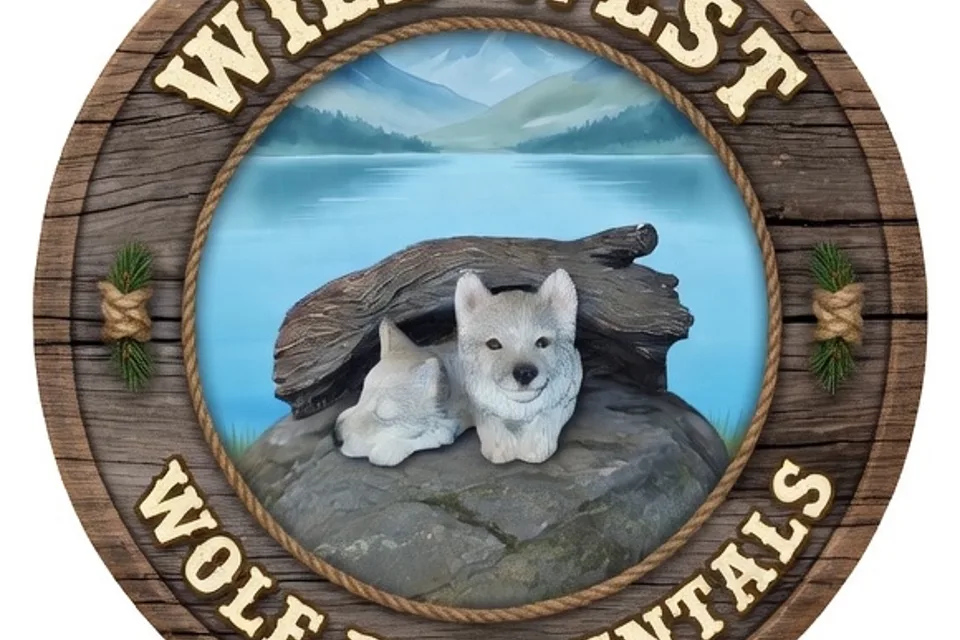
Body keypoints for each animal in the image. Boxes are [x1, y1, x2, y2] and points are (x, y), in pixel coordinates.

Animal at [455, 269, 584, 464]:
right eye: (493, 344)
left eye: (542, 342)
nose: (525, 373)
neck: (518, 414)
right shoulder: (477, 403)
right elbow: (490, 420)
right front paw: (501, 448)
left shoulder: (568, 394)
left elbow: (547, 415)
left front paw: (534, 448)